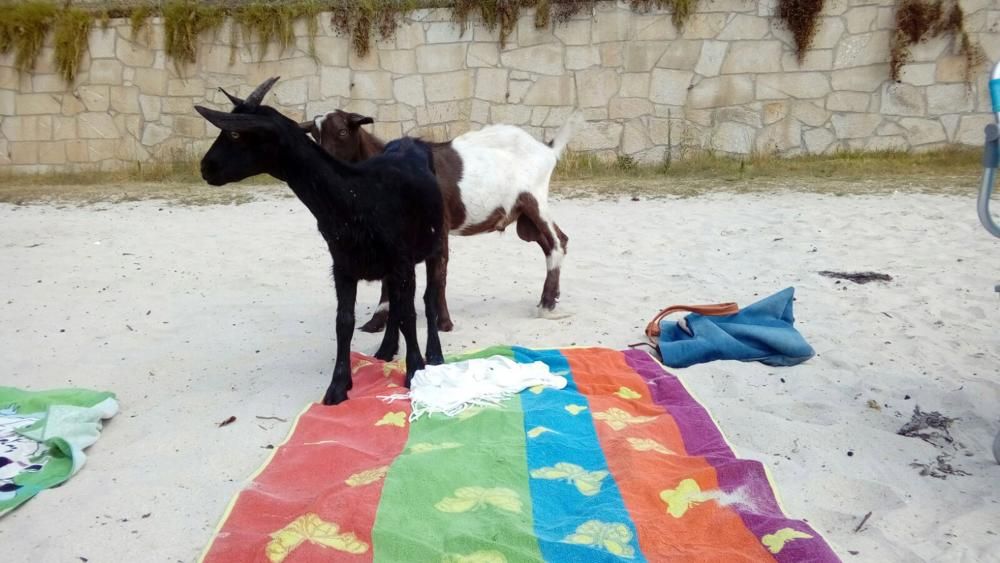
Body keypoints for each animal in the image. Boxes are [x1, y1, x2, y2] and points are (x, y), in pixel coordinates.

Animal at [193, 79, 444, 406]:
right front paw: (338, 386)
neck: (357, 195)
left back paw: (435, 354)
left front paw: (415, 371)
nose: (205, 167)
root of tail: (412, 141)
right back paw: (386, 349)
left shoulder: (401, 262)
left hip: (434, 242)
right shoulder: (342, 266)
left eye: (235, 133)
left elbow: (409, 315)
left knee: (428, 297)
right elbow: (345, 321)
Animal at [302, 112, 584, 332]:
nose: (321, 166)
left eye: (342, 131)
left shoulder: (440, 228)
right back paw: (553, 301)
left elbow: (438, 274)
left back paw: (546, 306)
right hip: (524, 218)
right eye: (314, 136)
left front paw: (444, 323)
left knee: (557, 242)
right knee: (554, 242)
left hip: (534, 199)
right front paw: (377, 321)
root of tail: (548, 150)